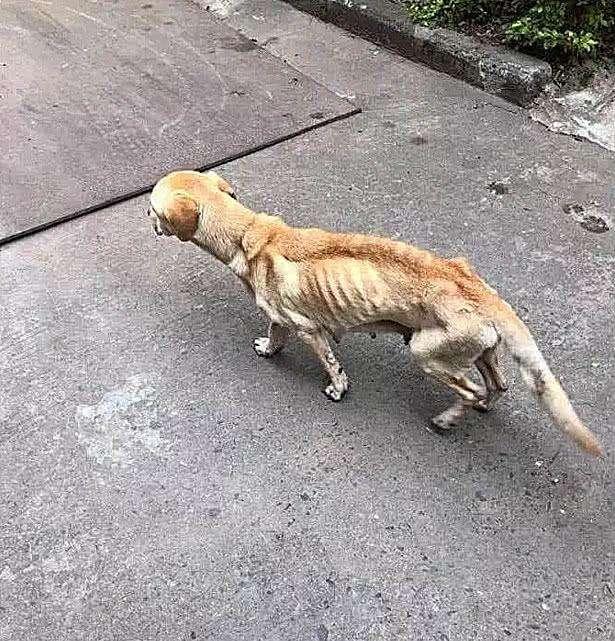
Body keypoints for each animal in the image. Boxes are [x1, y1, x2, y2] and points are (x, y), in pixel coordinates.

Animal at [148, 170, 600, 456]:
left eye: (152, 208)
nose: (143, 217)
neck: (249, 234)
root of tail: (479, 289)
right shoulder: (284, 318)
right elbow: (275, 333)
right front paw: (269, 348)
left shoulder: (308, 329)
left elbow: (326, 361)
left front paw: (334, 387)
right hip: (478, 350)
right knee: (497, 384)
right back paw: (480, 406)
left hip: (425, 351)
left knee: (470, 390)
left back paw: (448, 419)